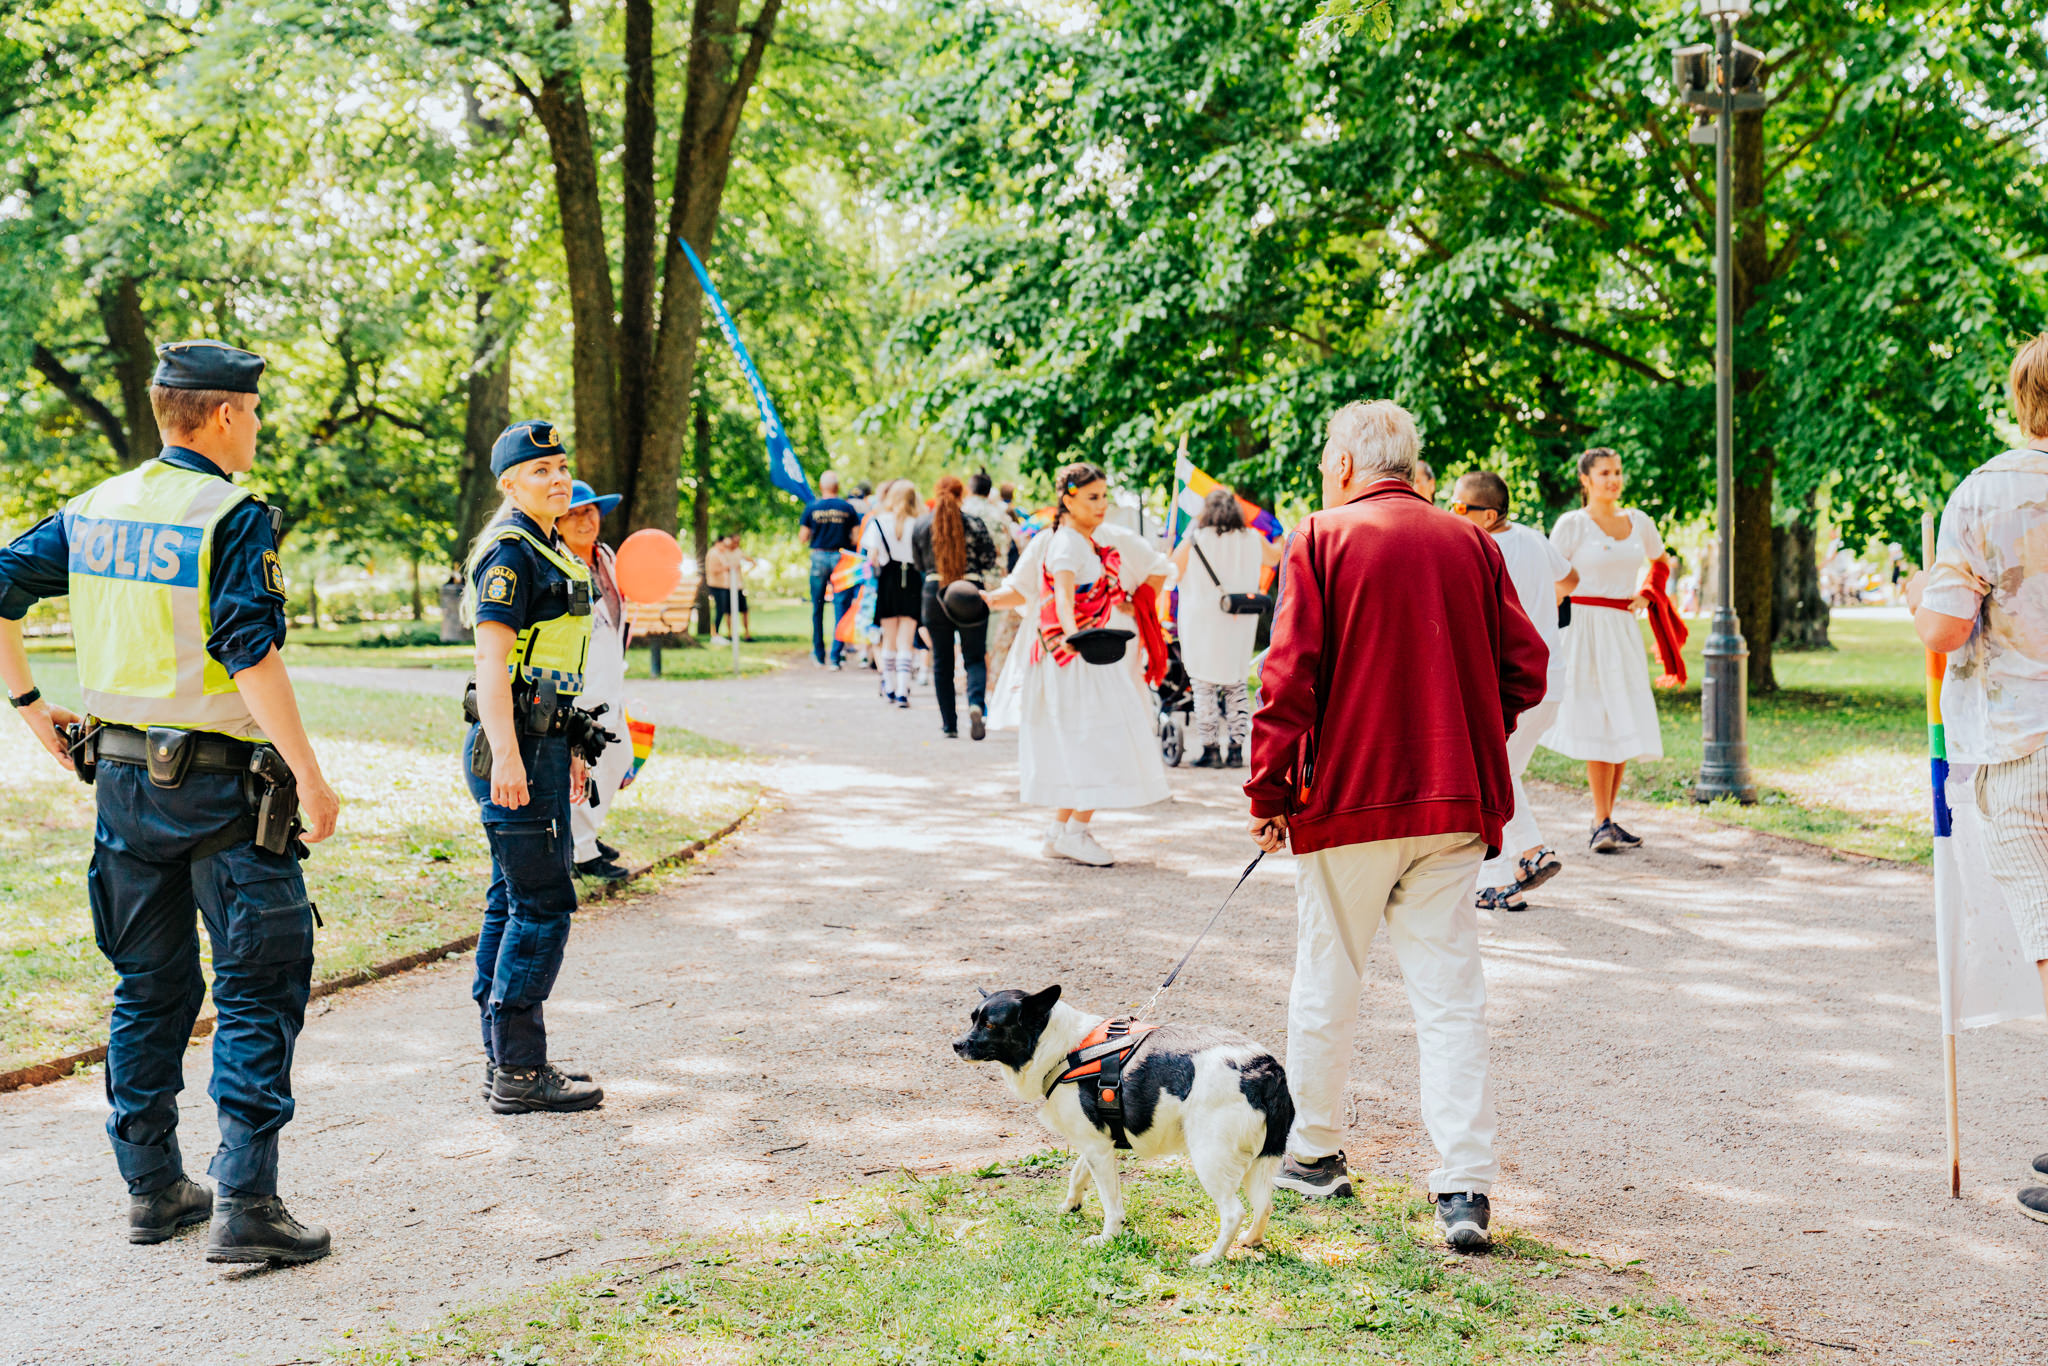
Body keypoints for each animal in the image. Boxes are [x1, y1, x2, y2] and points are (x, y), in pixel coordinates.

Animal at [950, 987, 1286, 1269]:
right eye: (972, 1019)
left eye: (990, 1025)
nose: (956, 1044)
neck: (1062, 1049)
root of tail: (1262, 1067)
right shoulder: (1096, 1142)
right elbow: (1078, 1173)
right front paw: (1071, 1205)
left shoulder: (1098, 1149)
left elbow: (1111, 1205)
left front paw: (1107, 1238)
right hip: (1260, 1162)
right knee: (1264, 1205)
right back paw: (1252, 1240)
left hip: (1210, 1159)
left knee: (1233, 1212)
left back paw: (1212, 1257)